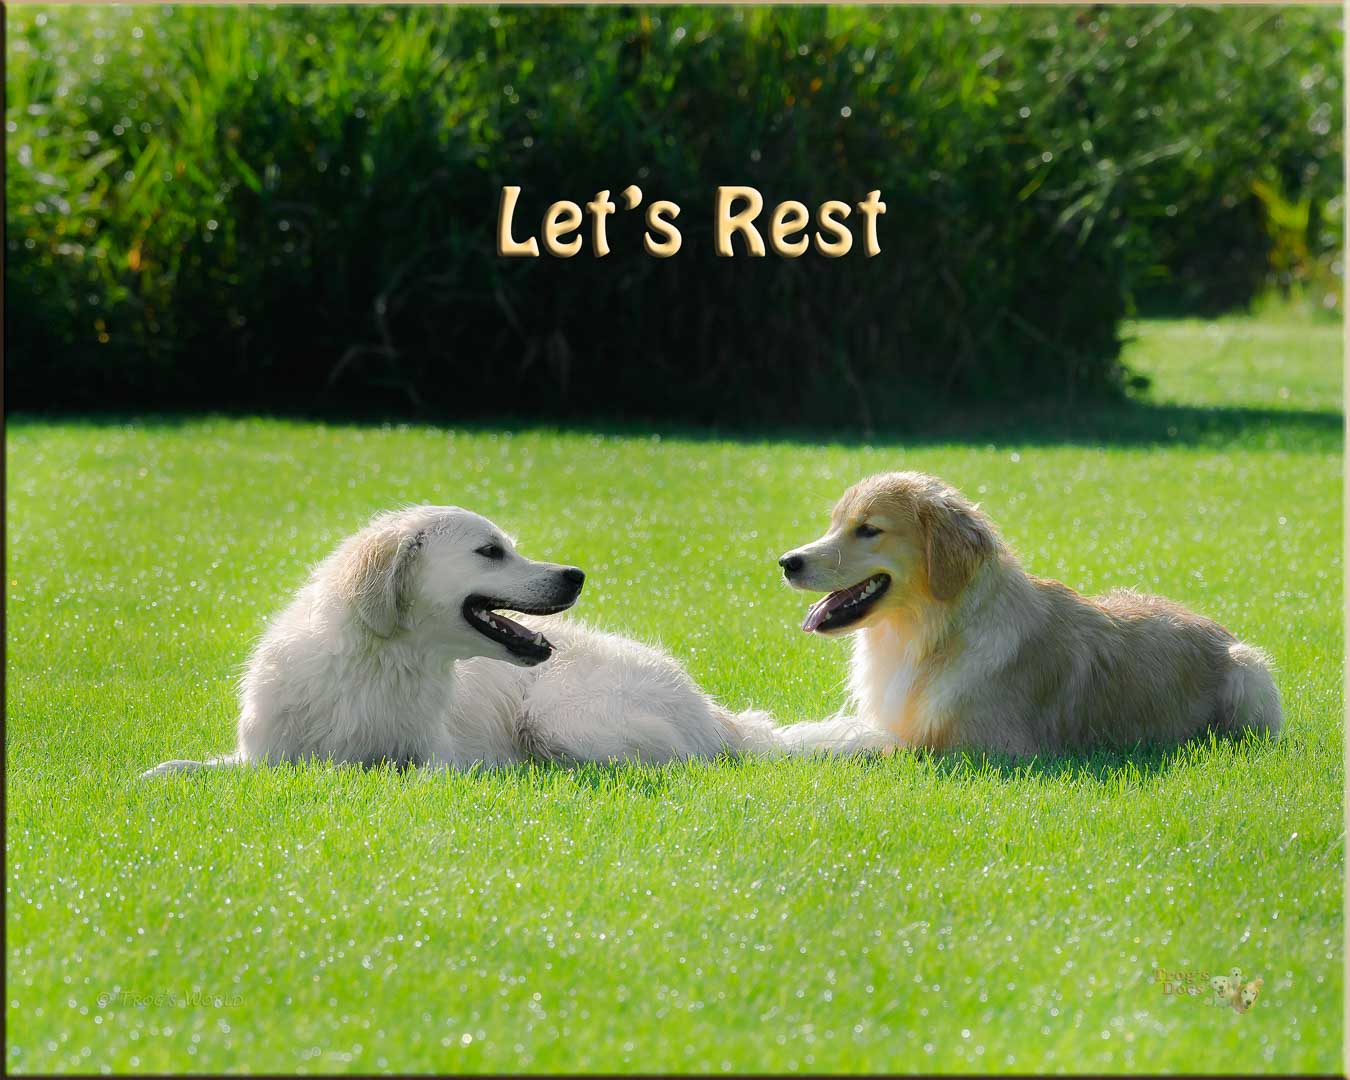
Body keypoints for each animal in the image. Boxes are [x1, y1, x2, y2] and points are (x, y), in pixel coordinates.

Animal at [142, 502, 788, 772]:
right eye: (490, 551)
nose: (576, 575)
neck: (381, 664)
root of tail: (712, 711)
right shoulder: (262, 757)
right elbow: (175, 769)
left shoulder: (439, 761)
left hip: (559, 719)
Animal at [777, 467, 1279, 756]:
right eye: (834, 524)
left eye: (868, 529)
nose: (786, 562)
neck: (938, 632)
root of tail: (1216, 626)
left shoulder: (987, 749)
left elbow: (860, 742)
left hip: (1249, 670)